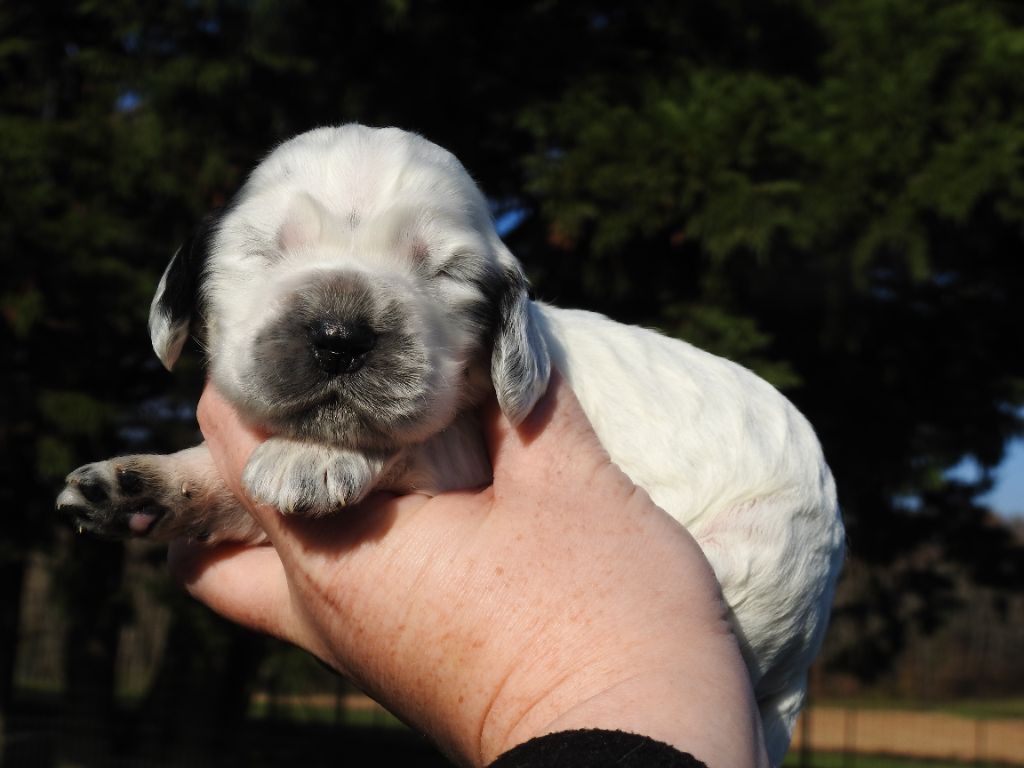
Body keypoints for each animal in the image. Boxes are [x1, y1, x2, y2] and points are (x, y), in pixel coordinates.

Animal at [59, 123, 851, 765]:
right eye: (263, 250)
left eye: (442, 271)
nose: (340, 338)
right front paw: (143, 486)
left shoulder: (467, 446)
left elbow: (411, 439)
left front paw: (313, 457)